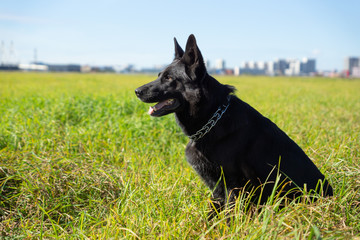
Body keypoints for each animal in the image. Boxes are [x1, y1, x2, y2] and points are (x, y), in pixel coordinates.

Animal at [136, 34, 334, 218]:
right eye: (159, 76)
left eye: (169, 78)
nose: (136, 91)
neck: (213, 117)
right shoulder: (217, 188)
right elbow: (213, 213)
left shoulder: (234, 185)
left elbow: (230, 216)